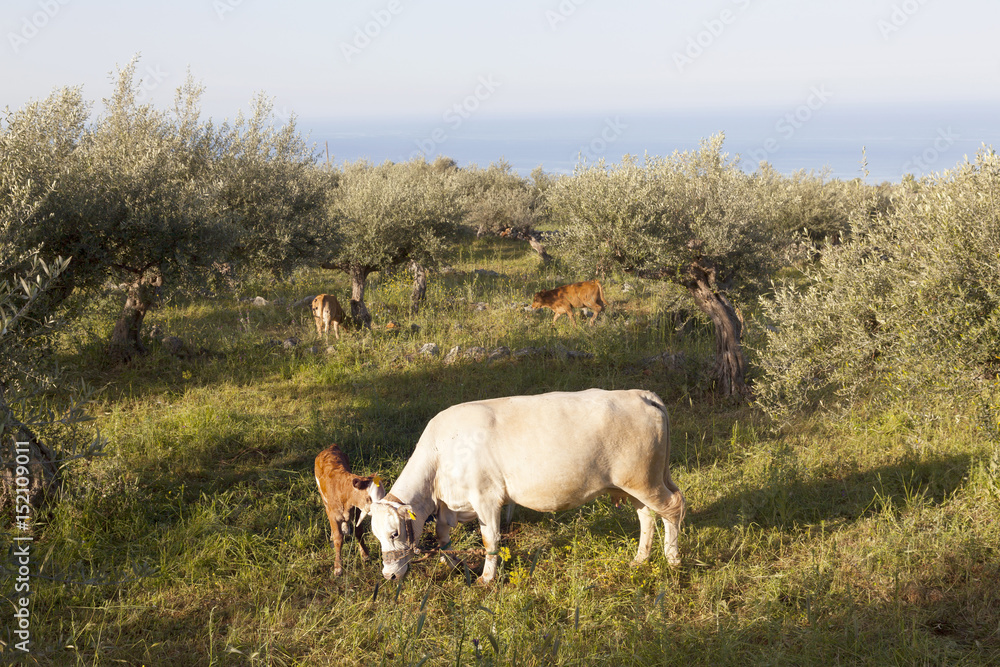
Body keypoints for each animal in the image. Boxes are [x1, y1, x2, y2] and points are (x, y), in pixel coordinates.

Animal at [316, 444, 386, 576]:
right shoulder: (333, 515)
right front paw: (338, 567)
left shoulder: (357, 511)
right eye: (370, 498)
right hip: (324, 499)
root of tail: (331, 447)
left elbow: (359, 532)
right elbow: (338, 539)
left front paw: (365, 555)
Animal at [370, 388, 688, 580]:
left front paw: (486, 578)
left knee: (673, 506)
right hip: (631, 484)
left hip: (644, 480)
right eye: (376, 536)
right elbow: (443, 538)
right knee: (646, 516)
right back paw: (640, 559)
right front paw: (458, 567)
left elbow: (490, 540)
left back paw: (673, 559)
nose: (388, 575)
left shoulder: (486, 498)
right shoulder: (449, 506)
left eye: (395, 533)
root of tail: (640, 395)